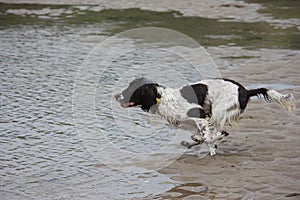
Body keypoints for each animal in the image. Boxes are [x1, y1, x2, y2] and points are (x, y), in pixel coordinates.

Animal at [115, 77, 296, 155]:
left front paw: (200, 142)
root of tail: (244, 90)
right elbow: (205, 138)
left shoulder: (200, 115)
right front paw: (198, 143)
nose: (116, 95)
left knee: (221, 132)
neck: (163, 98)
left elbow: (210, 137)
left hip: (218, 111)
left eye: (130, 91)